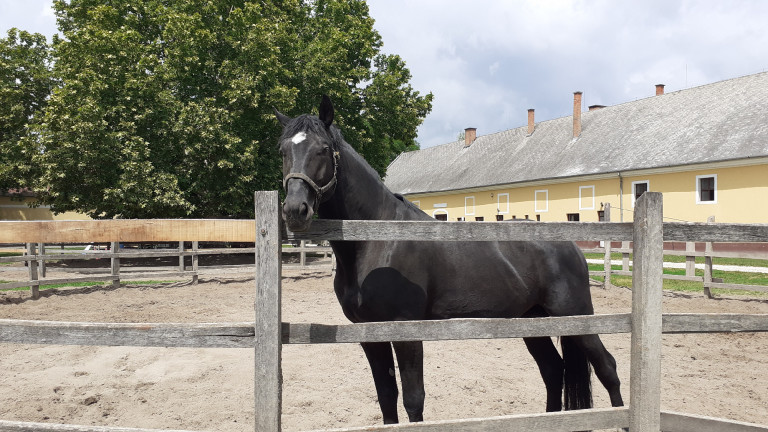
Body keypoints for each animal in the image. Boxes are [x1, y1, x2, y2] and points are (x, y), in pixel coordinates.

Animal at [276, 96, 624, 424]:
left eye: (323, 149)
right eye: (282, 151)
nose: (295, 210)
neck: (378, 240)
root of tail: (572, 247)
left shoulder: (406, 330)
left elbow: (413, 399)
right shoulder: (369, 335)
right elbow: (386, 396)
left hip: (575, 314)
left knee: (607, 368)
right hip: (532, 318)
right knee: (553, 370)